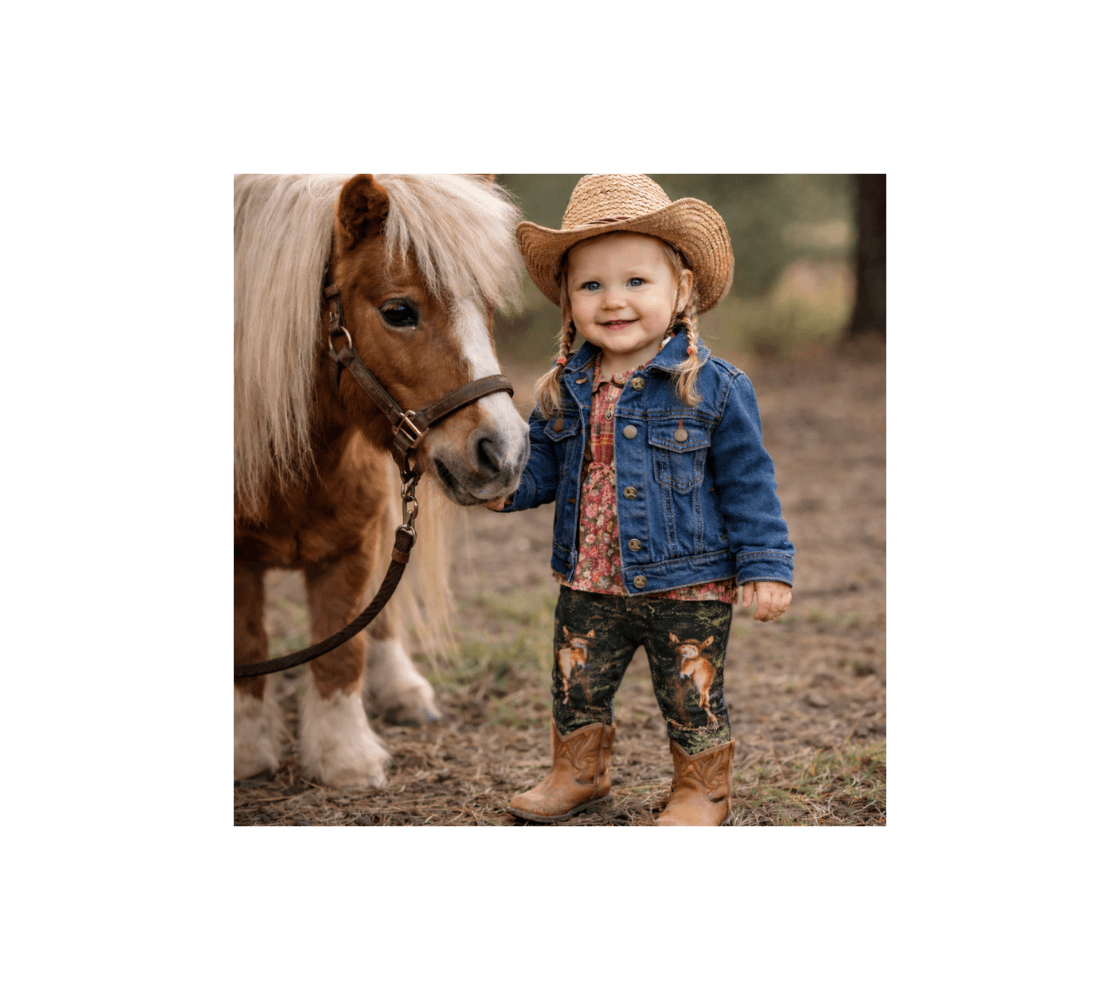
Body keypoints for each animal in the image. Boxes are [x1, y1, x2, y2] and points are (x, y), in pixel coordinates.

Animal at [234, 173, 529, 788]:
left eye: (486, 307)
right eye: (398, 311)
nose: (506, 453)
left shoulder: (349, 545)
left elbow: (341, 649)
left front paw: (344, 757)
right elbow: (247, 642)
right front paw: (247, 752)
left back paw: (400, 689)